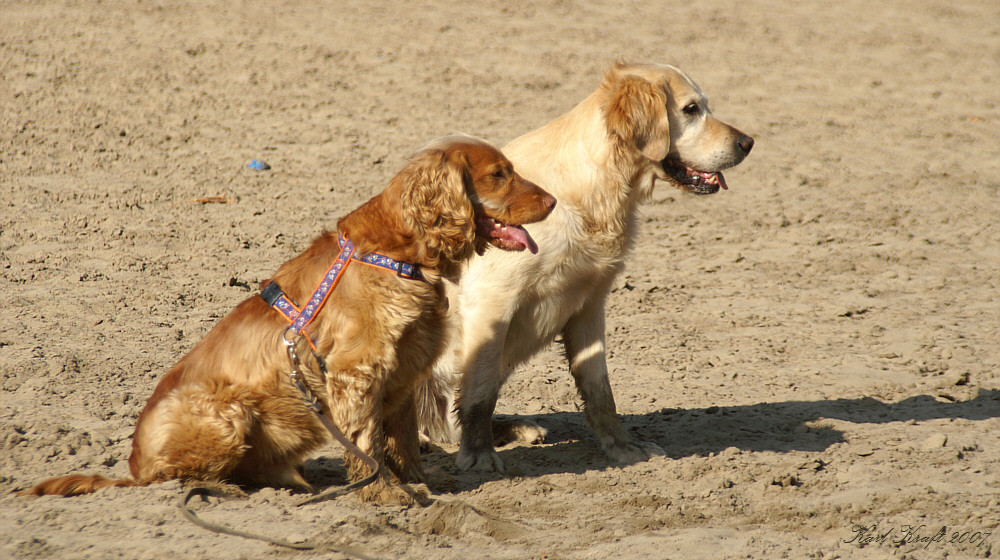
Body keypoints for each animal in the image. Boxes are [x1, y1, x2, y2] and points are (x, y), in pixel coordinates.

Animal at [23, 135, 556, 504]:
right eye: (499, 174)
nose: (553, 201)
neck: (397, 255)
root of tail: (131, 465)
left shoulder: (404, 372)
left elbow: (402, 441)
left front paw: (421, 483)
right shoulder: (356, 373)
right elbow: (369, 445)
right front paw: (384, 495)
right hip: (227, 413)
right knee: (170, 478)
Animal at [418, 62, 752, 472]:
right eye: (691, 109)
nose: (748, 143)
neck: (593, 191)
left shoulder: (590, 304)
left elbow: (600, 391)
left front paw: (623, 447)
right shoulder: (491, 302)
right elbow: (479, 393)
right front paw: (479, 454)